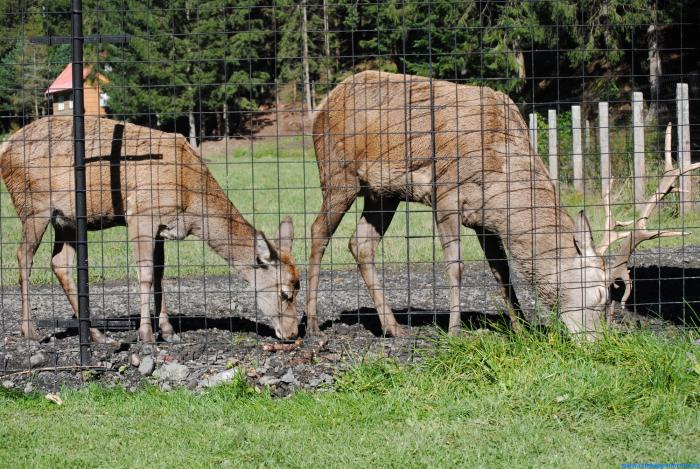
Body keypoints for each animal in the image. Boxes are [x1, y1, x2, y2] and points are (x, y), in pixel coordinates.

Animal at [0, 116, 300, 344]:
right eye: (285, 292)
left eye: (298, 288)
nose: (293, 333)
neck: (189, 198)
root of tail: (5, 147)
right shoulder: (141, 214)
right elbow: (144, 275)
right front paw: (145, 335)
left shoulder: (162, 228)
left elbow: (160, 275)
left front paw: (167, 331)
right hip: (33, 207)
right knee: (23, 256)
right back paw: (30, 330)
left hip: (68, 220)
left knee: (59, 263)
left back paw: (97, 334)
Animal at [308, 69, 696, 338]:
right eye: (600, 295)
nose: (597, 341)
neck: (501, 172)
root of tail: (322, 105)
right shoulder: (446, 195)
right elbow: (456, 266)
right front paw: (454, 331)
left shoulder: (485, 218)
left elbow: (502, 270)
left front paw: (522, 327)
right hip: (337, 174)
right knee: (317, 232)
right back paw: (311, 323)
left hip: (382, 193)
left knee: (360, 244)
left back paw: (394, 328)